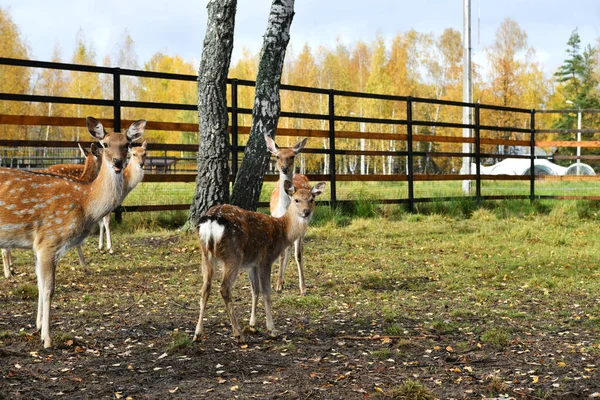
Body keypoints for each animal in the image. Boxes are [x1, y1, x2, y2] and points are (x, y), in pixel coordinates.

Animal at [195, 180, 326, 342]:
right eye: (296, 200)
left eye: (312, 199)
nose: (306, 212)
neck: (282, 231)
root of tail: (212, 221)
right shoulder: (266, 259)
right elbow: (266, 292)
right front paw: (272, 329)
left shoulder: (252, 264)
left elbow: (255, 290)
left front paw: (252, 324)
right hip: (233, 255)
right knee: (224, 288)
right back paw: (238, 334)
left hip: (206, 253)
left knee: (205, 288)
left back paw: (197, 333)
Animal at [268, 134, 314, 294]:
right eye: (277, 156)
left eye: (292, 156)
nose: (284, 168)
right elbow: (282, 253)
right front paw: (278, 285)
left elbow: (298, 254)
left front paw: (303, 288)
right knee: (286, 249)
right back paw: (281, 282)